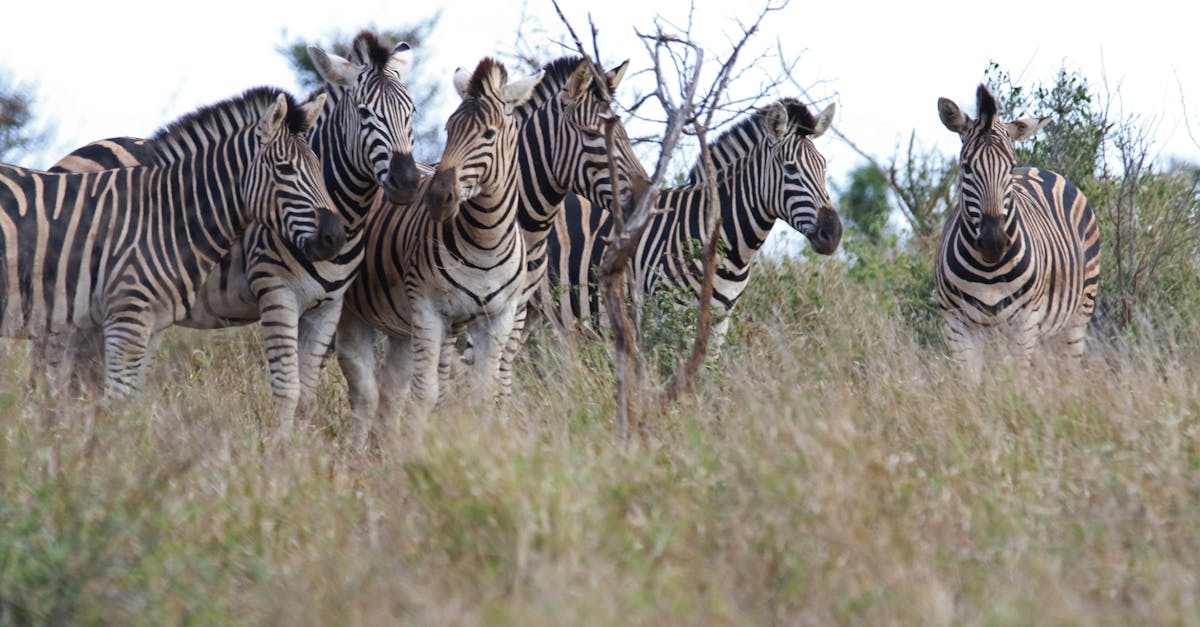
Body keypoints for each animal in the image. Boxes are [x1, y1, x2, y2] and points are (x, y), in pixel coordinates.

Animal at [0, 87, 348, 396]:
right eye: (285, 169)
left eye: (320, 166)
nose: (335, 236)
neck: (167, 214)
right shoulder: (127, 317)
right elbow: (117, 400)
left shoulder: (151, 322)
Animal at [44, 31, 420, 427]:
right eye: (364, 113)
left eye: (411, 112)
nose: (407, 182)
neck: (345, 211)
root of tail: (72, 156)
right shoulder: (277, 294)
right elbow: (287, 389)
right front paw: (280, 443)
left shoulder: (328, 307)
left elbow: (307, 393)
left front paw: (303, 441)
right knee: (57, 371)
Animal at [338, 57, 544, 439]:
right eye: (449, 129)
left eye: (489, 134)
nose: (436, 197)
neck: (486, 242)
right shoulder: (428, 310)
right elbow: (425, 394)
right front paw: (419, 447)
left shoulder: (499, 317)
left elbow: (483, 392)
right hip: (350, 312)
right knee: (362, 390)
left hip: (400, 326)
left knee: (389, 390)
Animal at [931, 84, 1099, 377]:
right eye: (966, 167)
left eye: (1009, 167)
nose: (994, 242)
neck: (988, 271)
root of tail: (1039, 169)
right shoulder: (956, 325)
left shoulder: (1025, 323)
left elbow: (1017, 380)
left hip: (1078, 315)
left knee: (1069, 368)